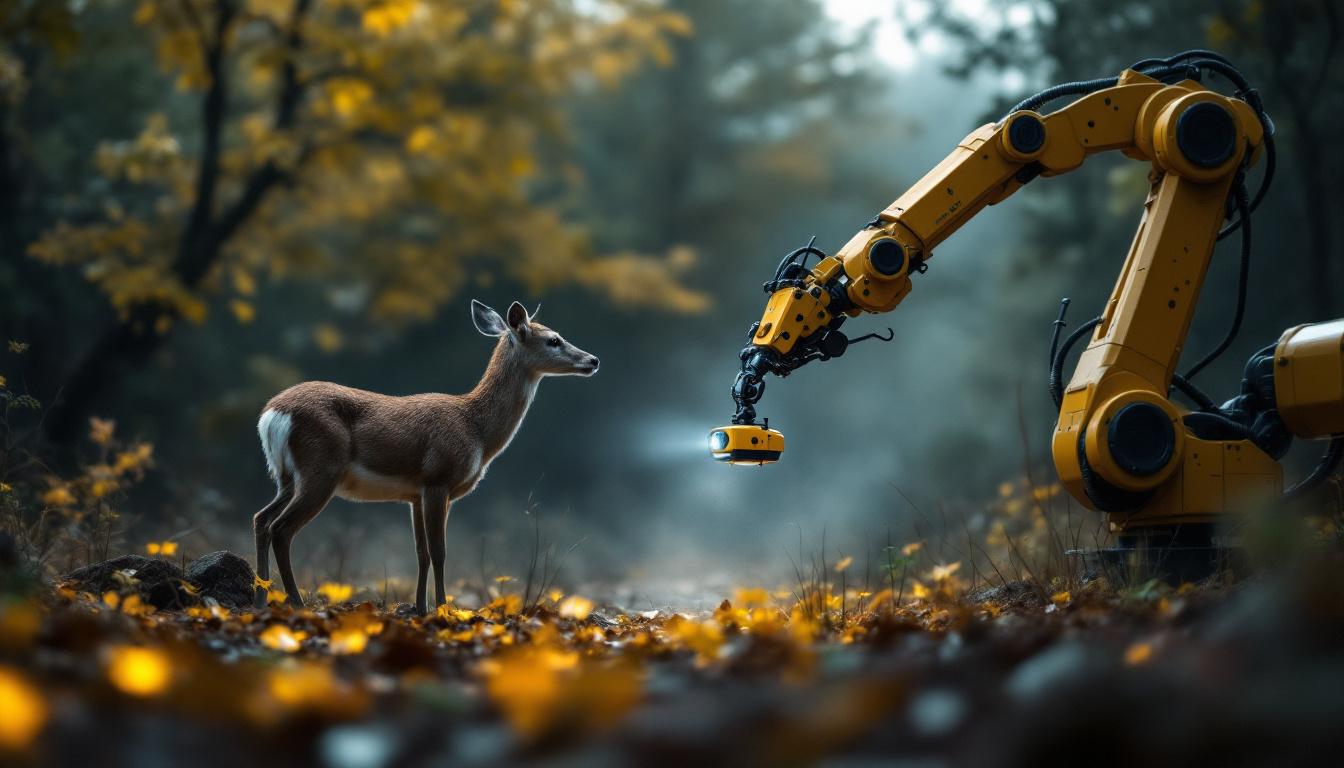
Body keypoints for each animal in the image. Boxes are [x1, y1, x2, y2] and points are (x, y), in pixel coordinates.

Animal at [252, 299, 599, 614]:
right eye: (553, 339)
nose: (593, 360)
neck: (477, 430)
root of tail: (272, 414)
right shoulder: (438, 480)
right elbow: (439, 551)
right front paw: (443, 607)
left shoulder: (415, 494)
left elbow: (420, 552)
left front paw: (420, 607)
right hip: (321, 468)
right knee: (281, 529)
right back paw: (295, 602)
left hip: (286, 475)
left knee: (261, 519)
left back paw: (260, 596)